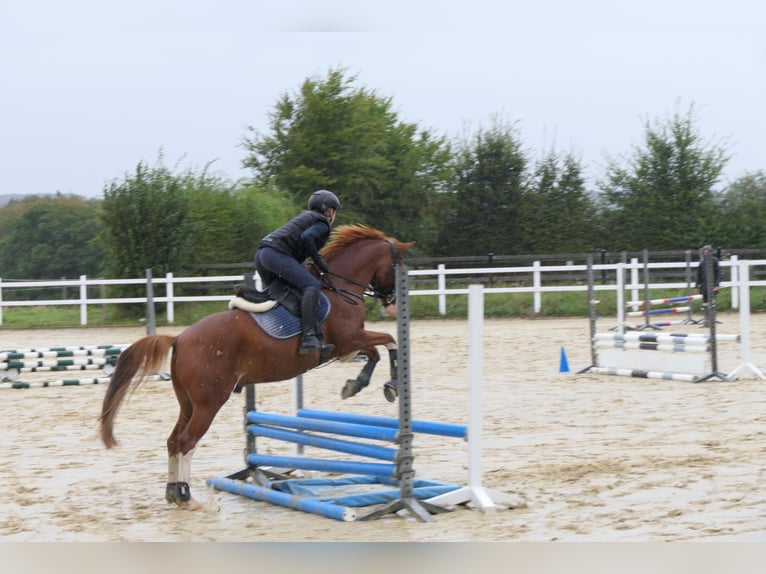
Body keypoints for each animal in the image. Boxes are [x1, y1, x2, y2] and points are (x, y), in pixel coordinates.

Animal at [102, 224, 416, 508]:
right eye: (397, 265)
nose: (392, 302)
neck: (340, 288)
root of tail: (179, 338)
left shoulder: (348, 347)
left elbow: (377, 351)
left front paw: (357, 384)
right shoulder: (348, 340)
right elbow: (388, 342)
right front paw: (388, 384)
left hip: (188, 402)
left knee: (173, 440)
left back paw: (172, 492)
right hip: (209, 402)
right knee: (186, 442)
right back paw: (186, 496)